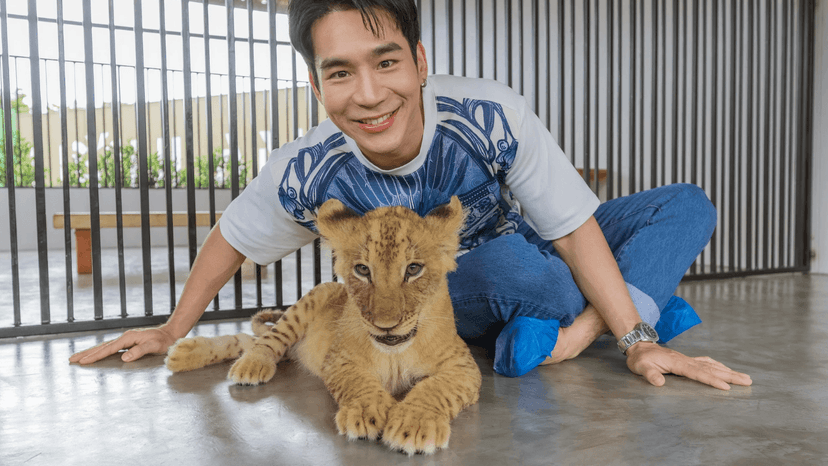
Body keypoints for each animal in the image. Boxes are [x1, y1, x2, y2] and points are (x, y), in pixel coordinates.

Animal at [165, 196, 482, 455]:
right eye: (362, 270)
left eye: (414, 269)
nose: (386, 326)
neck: (396, 352)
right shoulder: (339, 359)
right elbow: (358, 382)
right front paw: (366, 411)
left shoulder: (464, 367)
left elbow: (436, 387)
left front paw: (414, 424)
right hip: (310, 300)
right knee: (266, 341)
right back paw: (237, 362)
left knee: (250, 340)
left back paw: (185, 351)